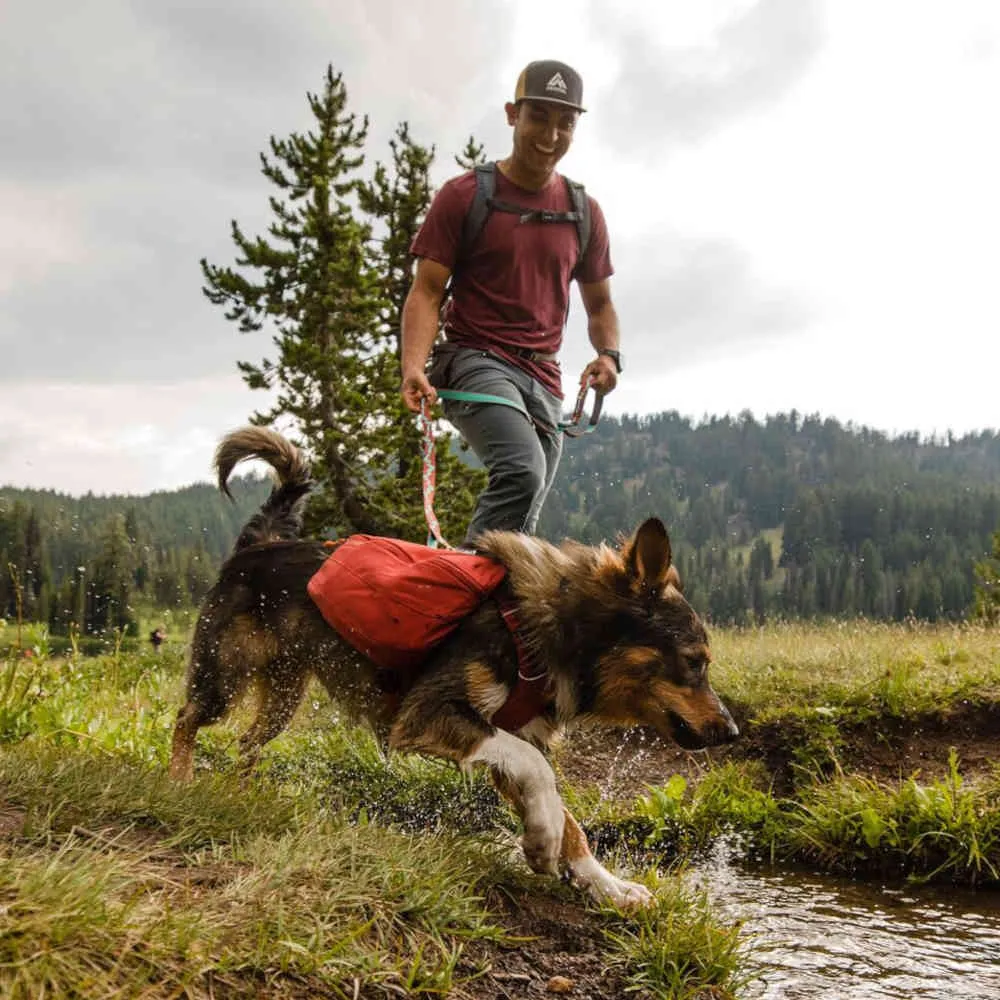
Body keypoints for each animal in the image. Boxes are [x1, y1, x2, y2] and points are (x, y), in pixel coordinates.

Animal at [168, 426, 740, 912]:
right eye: (695, 661)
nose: (731, 731)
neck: (542, 627)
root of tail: (259, 544)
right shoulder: (430, 714)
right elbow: (541, 771)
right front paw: (545, 841)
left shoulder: (508, 735)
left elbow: (562, 807)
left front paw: (603, 882)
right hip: (223, 678)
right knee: (185, 719)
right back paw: (181, 782)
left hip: (284, 696)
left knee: (246, 744)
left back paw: (242, 794)